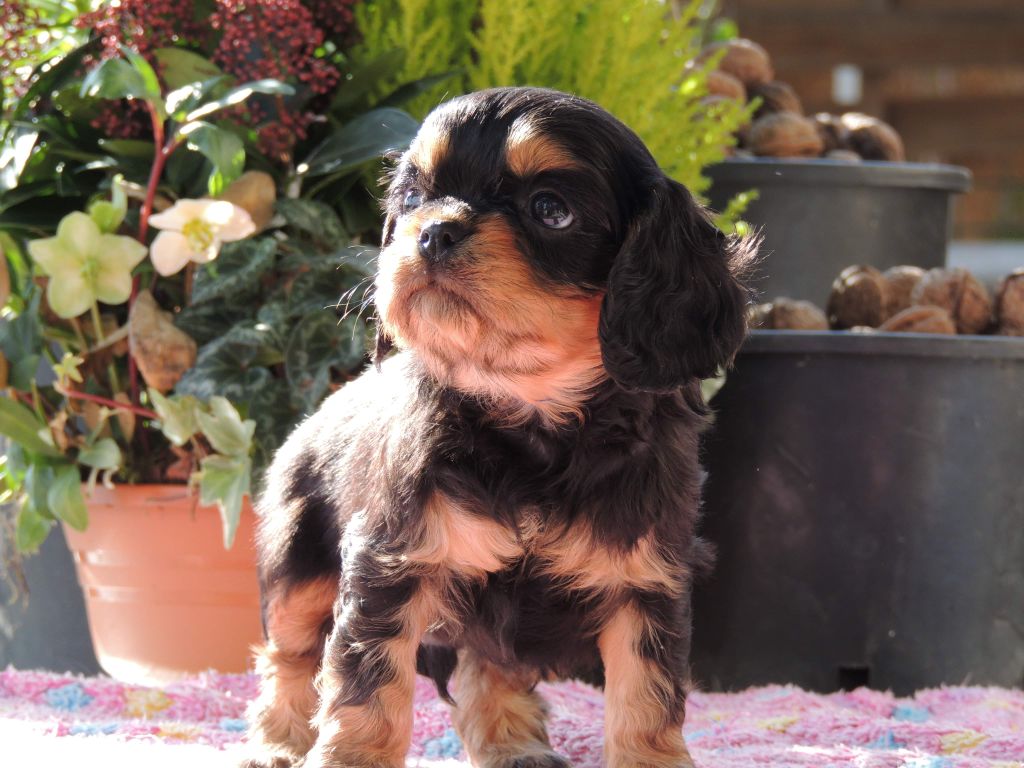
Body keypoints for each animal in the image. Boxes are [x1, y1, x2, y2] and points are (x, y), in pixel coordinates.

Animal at [244, 86, 753, 768]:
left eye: (550, 210)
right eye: (413, 197)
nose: (434, 231)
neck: (528, 418)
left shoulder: (647, 583)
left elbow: (646, 700)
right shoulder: (389, 565)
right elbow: (367, 689)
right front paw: (350, 757)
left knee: (492, 664)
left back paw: (513, 744)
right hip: (298, 564)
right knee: (291, 656)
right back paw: (276, 742)